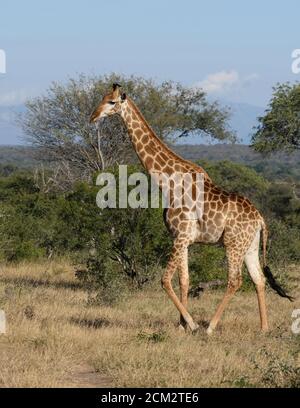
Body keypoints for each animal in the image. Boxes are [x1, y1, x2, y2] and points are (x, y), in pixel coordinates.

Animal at [89, 83, 292, 334]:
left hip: (233, 243)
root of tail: (260, 219)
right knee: (258, 279)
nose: (93, 117)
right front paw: (181, 326)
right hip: (250, 245)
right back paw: (263, 328)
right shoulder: (182, 238)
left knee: (235, 280)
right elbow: (184, 280)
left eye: (112, 102)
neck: (168, 182)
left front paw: (192, 323)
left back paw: (211, 326)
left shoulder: (181, 235)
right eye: (103, 98)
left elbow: (165, 280)